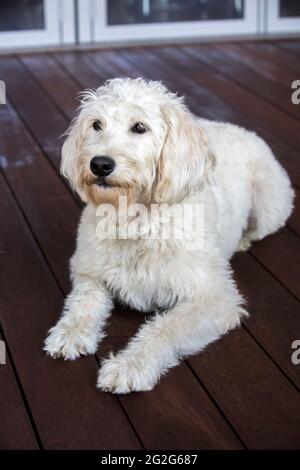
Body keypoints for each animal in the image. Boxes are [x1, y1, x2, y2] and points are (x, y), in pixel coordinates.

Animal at [44, 77, 292, 392]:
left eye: (139, 127)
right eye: (96, 124)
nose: (99, 164)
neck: (136, 219)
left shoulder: (214, 299)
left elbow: (163, 329)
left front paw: (129, 366)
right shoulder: (89, 272)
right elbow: (82, 304)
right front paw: (70, 334)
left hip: (270, 204)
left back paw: (244, 240)